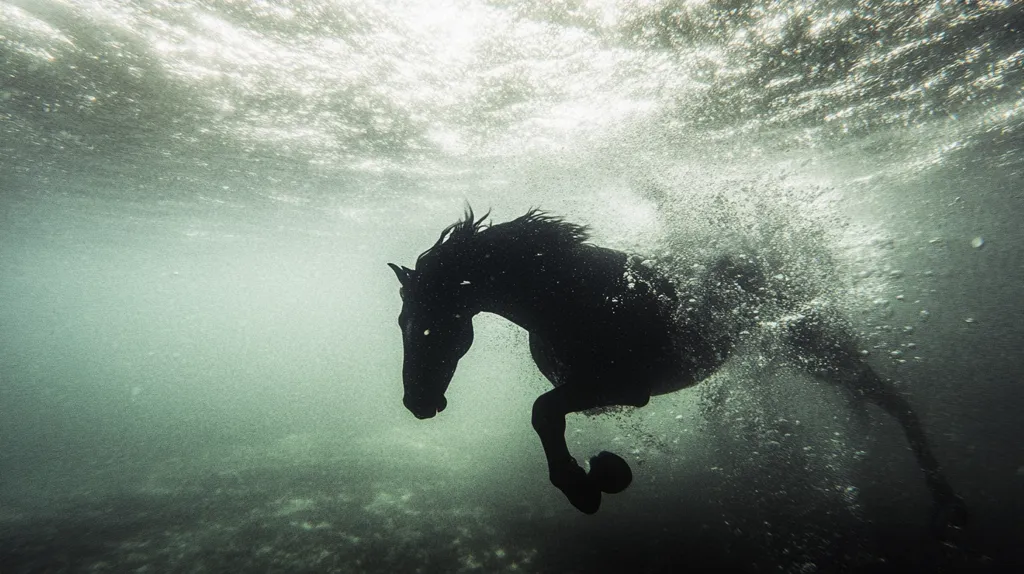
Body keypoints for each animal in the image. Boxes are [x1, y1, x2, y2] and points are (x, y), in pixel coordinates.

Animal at [388, 208, 966, 537]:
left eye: (429, 329)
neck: (567, 296)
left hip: (813, 346)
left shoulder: (626, 388)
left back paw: (947, 506)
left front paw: (584, 484)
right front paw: (599, 474)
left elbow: (542, 410)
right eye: (401, 323)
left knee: (892, 399)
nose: (418, 403)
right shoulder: (598, 395)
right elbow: (549, 415)